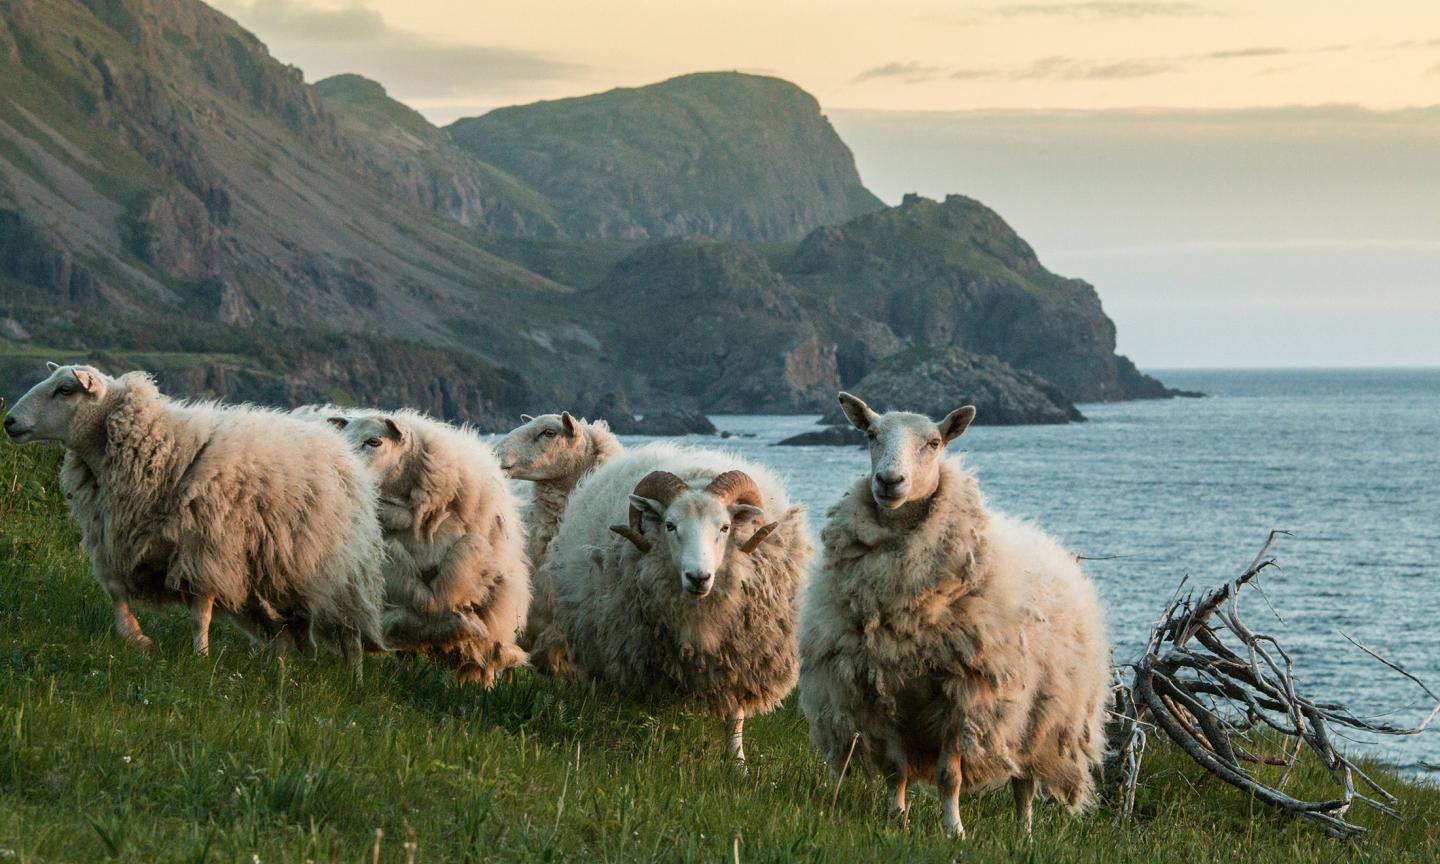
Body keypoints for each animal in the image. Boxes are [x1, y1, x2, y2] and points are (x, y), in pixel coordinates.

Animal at [3, 363, 387, 668]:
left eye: (65, 390)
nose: (8, 421)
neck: (159, 446)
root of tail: (340, 448)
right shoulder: (120, 539)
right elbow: (115, 590)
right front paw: (135, 637)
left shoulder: (206, 548)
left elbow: (200, 614)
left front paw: (200, 658)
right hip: (274, 570)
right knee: (290, 627)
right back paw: (283, 665)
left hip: (339, 572)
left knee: (349, 632)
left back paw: (351, 677)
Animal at [543, 442, 812, 764]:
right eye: (670, 526)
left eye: (724, 528)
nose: (698, 577)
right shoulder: (648, 662)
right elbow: (652, 712)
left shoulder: (740, 659)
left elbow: (735, 716)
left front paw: (738, 762)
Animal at [798, 392, 1111, 839]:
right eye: (871, 434)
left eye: (934, 443)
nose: (889, 481)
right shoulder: (882, 690)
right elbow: (895, 770)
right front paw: (897, 820)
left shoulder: (962, 694)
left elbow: (950, 776)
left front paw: (954, 830)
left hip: (1039, 718)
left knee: (1025, 782)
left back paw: (1024, 834)